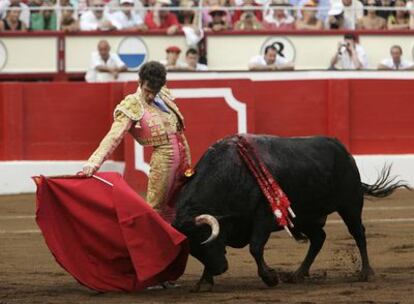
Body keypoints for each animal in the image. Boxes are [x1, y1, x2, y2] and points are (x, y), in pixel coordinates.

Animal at [171, 134, 408, 290]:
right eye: (194, 250)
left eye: (206, 240)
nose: (220, 268)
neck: (230, 175)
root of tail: (342, 149)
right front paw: (204, 282)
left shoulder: (264, 217)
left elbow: (255, 248)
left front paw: (270, 278)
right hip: (306, 217)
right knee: (319, 238)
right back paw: (297, 274)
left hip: (350, 205)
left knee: (358, 233)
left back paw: (366, 273)